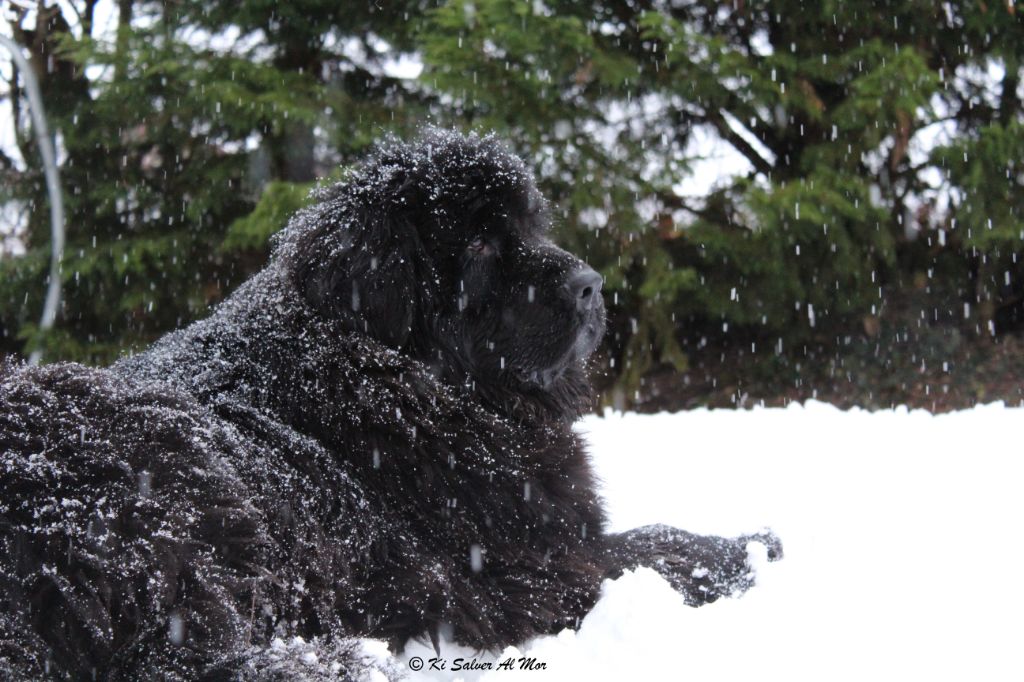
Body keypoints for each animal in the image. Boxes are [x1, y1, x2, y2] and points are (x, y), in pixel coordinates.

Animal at [0, 130, 780, 680]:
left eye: (531, 226)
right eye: (479, 242)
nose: (591, 285)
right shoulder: (519, 568)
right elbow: (641, 549)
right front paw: (744, 550)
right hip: (166, 474)